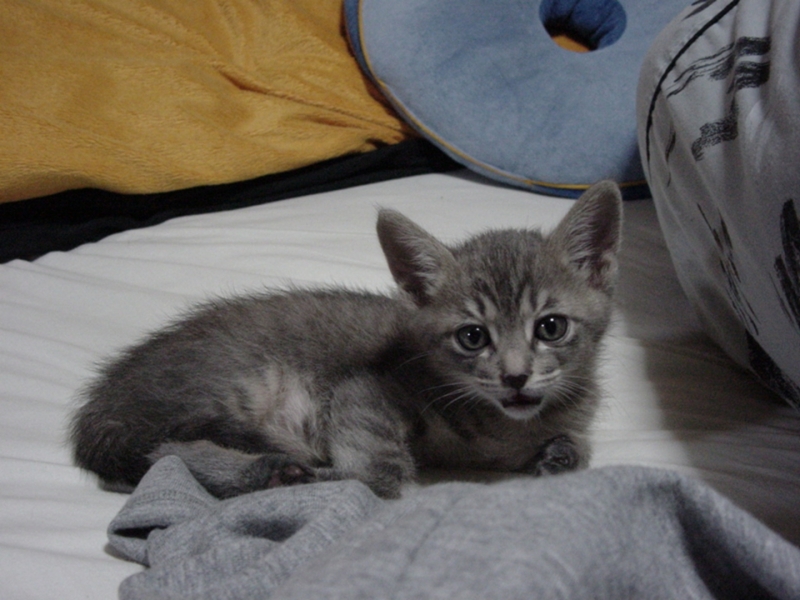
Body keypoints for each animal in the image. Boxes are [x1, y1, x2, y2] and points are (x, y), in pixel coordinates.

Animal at [70, 180, 622, 499]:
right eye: (472, 336)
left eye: (550, 327)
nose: (515, 376)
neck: (503, 426)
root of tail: (103, 403)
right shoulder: (369, 386)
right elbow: (383, 470)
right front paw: (354, 479)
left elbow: (577, 448)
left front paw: (560, 454)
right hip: (226, 388)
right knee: (164, 452)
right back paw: (268, 472)